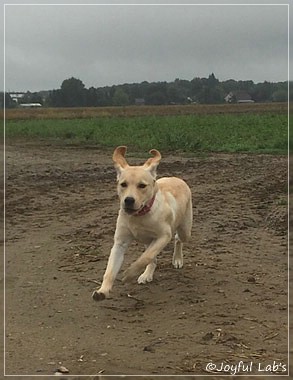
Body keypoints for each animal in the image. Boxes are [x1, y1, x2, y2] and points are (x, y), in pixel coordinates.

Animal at [92, 147, 192, 302]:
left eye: (142, 185)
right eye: (123, 184)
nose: (128, 200)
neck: (139, 216)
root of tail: (177, 178)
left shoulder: (163, 236)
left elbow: (145, 257)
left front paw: (129, 274)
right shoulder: (120, 243)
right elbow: (110, 270)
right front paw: (102, 291)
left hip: (185, 230)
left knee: (177, 239)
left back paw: (177, 259)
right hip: (149, 240)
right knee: (153, 257)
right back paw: (147, 274)